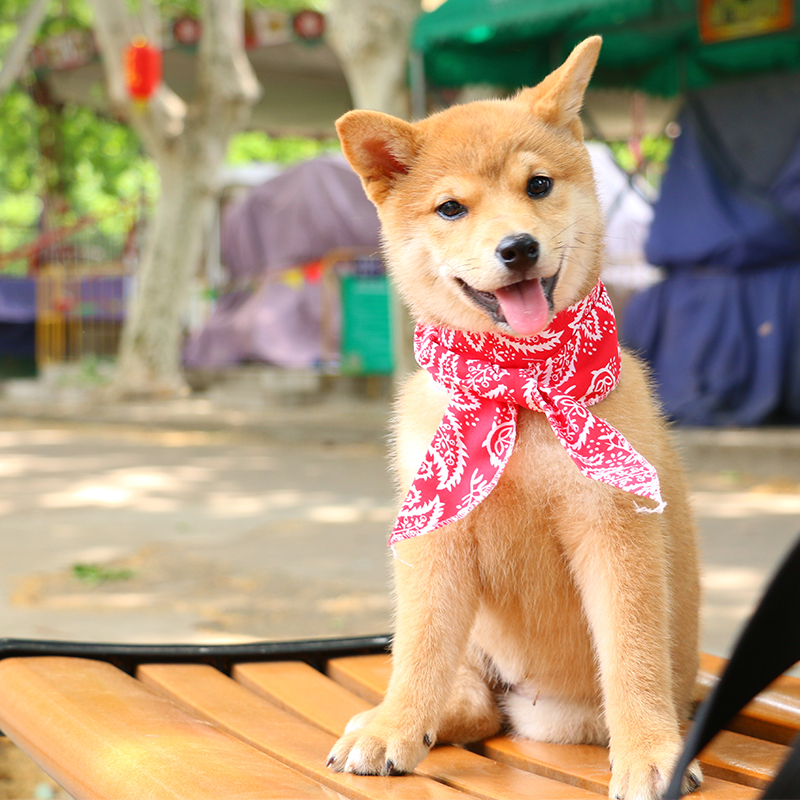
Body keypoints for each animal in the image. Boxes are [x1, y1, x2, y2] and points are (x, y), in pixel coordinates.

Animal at [329, 36, 702, 800]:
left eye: (538, 186)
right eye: (450, 208)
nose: (518, 248)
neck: (521, 390)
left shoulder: (615, 530)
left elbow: (634, 656)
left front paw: (651, 752)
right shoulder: (436, 537)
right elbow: (418, 648)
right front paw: (393, 727)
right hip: (479, 650)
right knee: (466, 698)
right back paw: (405, 721)